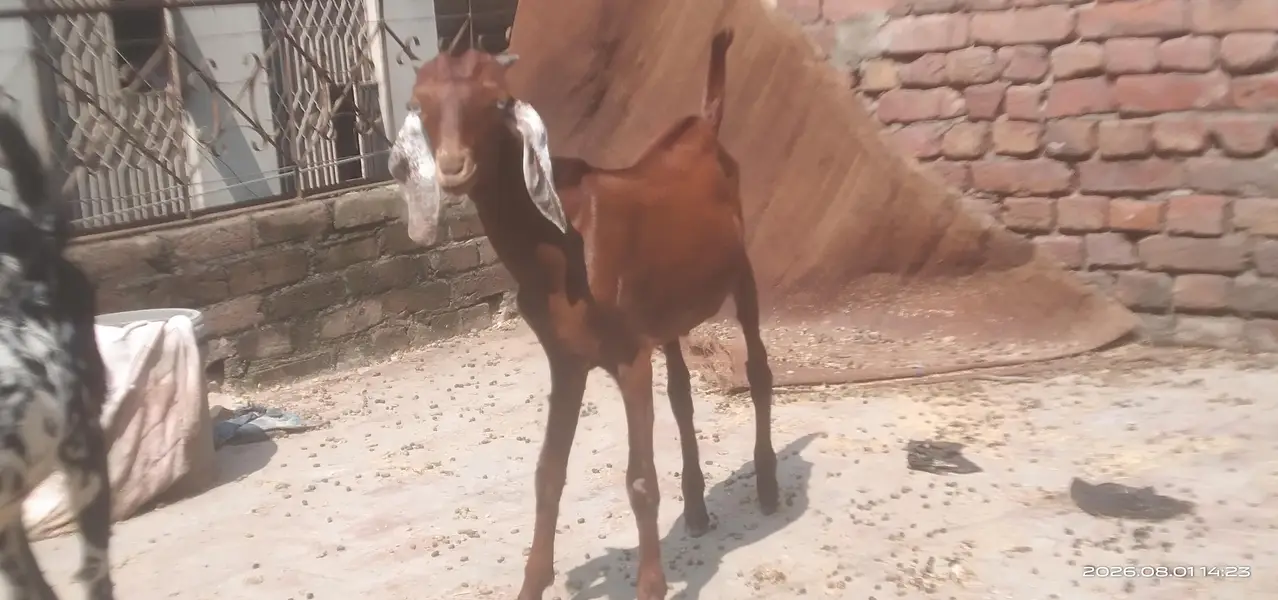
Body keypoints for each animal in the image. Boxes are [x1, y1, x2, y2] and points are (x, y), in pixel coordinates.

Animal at [390, 28, 775, 600]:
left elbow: (640, 480)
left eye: (497, 101)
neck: (561, 240)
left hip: (742, 271)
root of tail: (704, 127)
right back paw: (697, 508)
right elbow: (548, 473)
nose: (454, 168)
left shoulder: (629, 355)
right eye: (420, 103)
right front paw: (532, 582)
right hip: (667, 311)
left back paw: (769, 486)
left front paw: (651, 586)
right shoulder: (566, 359)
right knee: (682, 394)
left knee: (758, 369)